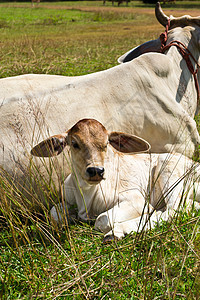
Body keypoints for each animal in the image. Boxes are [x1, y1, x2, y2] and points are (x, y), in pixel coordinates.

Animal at [31, 118, 200, 243]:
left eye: (106, 144)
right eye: (74, 144)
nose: (96, 170)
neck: (87, 194)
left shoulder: (136, 200)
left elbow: (102, 220)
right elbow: (54, 214)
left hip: (169, 172)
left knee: (172, 211)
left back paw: (116, 232)